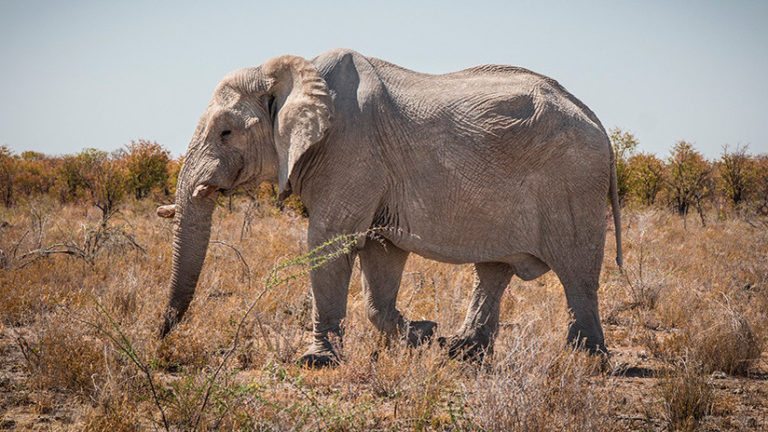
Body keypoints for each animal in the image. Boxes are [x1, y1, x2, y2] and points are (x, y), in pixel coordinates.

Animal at [157, 48, 622, 367]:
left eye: (225, 132)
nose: (159, 336)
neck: (299, 72)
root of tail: (597, 120)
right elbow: (380, 253)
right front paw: (422, 334)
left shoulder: (351, 151)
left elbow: (330, 242)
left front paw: (317, 362)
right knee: (494, 270)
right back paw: (461, 350)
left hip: (574, 181)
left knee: (577, 271)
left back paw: (584, 360)